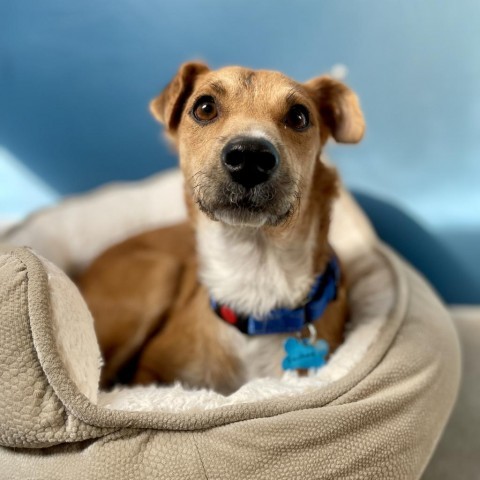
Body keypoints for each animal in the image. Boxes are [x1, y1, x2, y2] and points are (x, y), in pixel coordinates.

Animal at [77, 61, 366, 394]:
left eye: (299, 116)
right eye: (204, 108)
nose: (250, 156)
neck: (254, 274)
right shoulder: (151, 370)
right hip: (157, 275)